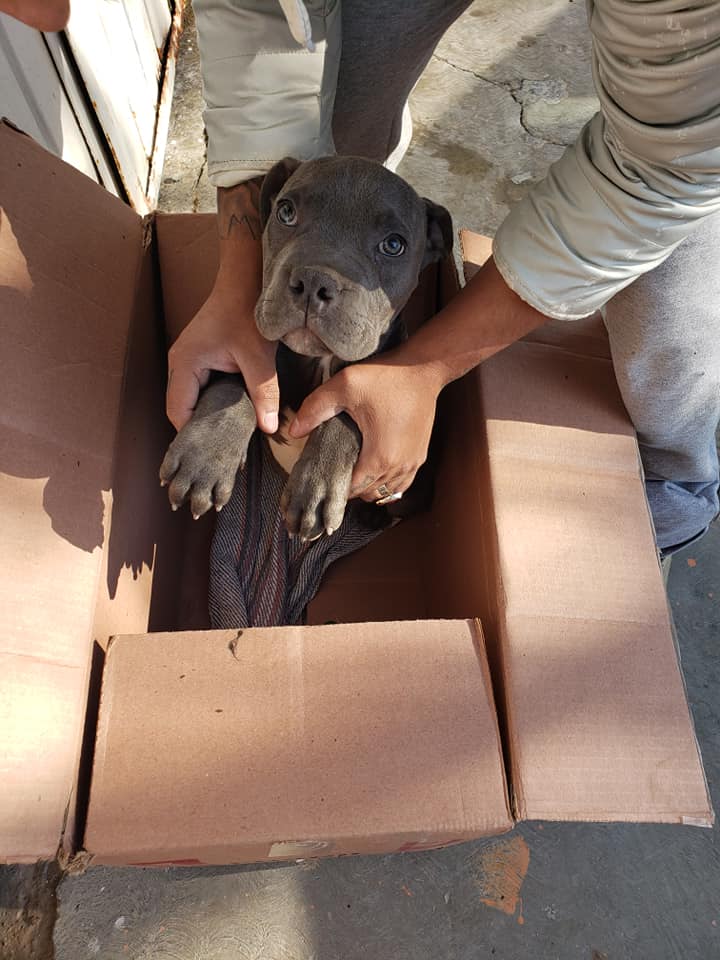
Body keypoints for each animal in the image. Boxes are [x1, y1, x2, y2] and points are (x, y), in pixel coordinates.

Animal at [161, 161, 452, 544]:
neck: (317, 361)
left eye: (393, 245)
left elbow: (347, 413)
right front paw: (206, 451)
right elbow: (234, 381)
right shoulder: (253, 359)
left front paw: (318, 484)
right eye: (286, 212)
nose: (315, 280)